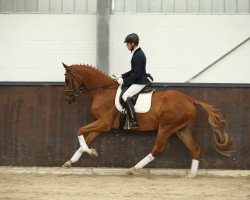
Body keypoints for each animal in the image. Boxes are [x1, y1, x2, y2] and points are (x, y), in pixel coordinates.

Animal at [61, 63, 235, 177]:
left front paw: (89, 152)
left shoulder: (104, 123)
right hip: (181, 129)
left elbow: (79, 131)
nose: (68, 99)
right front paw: (72, 161)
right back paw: (191, 176)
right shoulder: (101, 125)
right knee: (196, 150)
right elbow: (86, 139)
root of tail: (190, 100)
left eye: (67, 80)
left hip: (166, 127)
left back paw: (133, 168)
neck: (103, 91)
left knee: (157, 149)